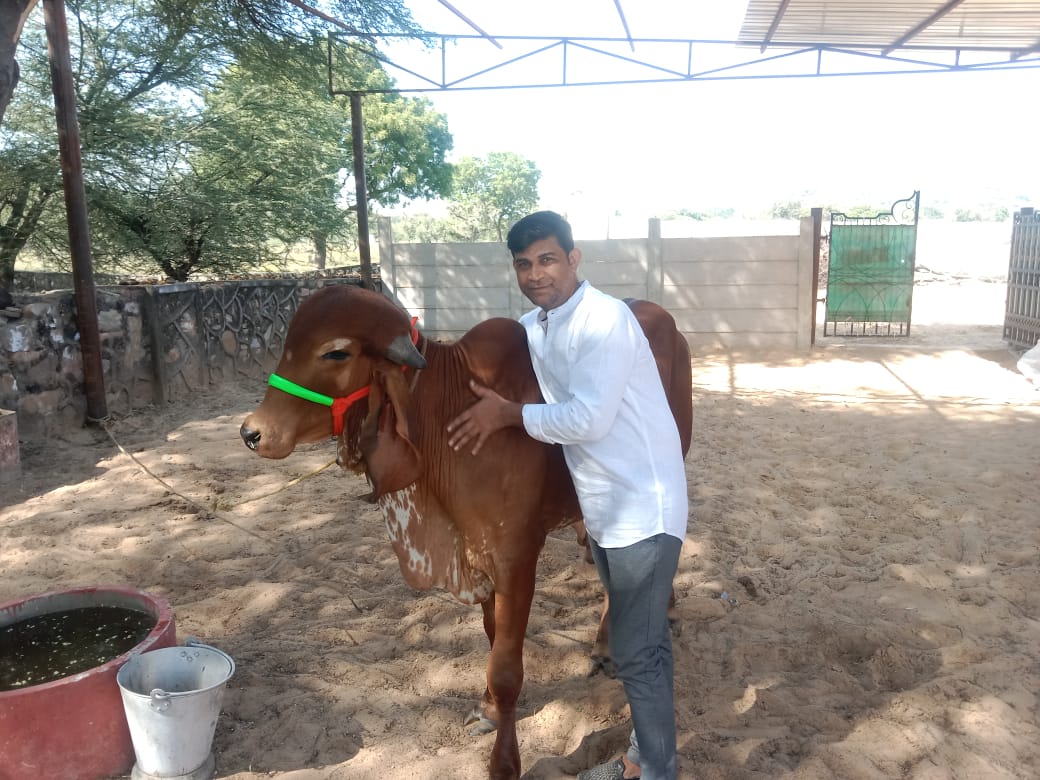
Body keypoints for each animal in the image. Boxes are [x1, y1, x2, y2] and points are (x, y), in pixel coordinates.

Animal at [239, 284, 692, 780]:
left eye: (335, 352)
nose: (252, 432)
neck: (446, 415)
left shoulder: (516, 559)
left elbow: (508, 669)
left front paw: (504, 763)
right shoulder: (480, 556)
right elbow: (494, 642)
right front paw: (489, 711)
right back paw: (607, 646)